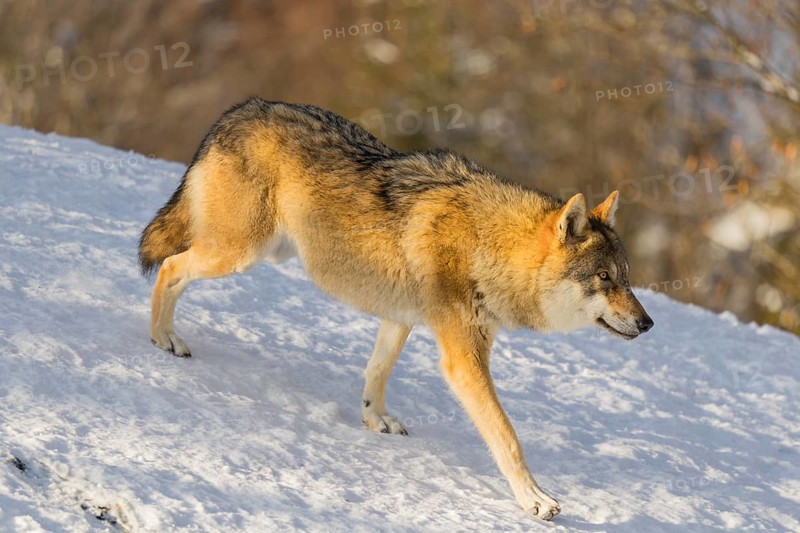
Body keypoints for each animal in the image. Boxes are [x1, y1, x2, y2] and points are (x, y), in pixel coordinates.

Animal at [138, 97, 654, 521]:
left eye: (627, 278)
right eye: (604, 279)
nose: (648, 323)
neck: (487, 245)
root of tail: (241, 109)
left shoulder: (402, 316)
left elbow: (377, 371)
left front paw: (374, 420)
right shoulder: (462, 357)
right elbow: (507, 436)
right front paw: (535, 500)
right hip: (240, 253)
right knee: (170, 267)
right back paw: (163, 338)